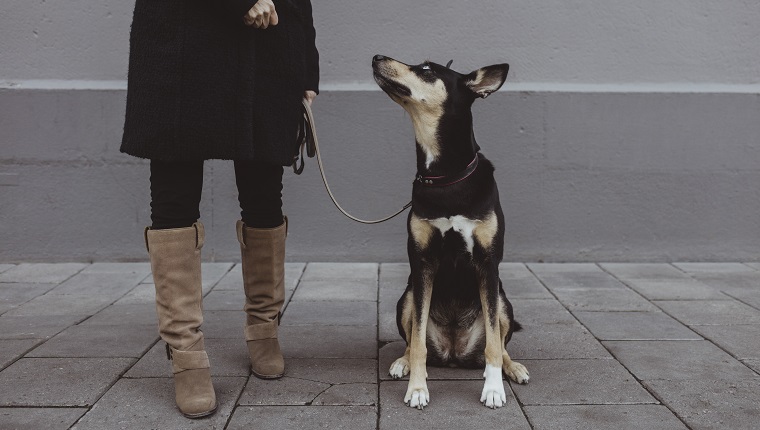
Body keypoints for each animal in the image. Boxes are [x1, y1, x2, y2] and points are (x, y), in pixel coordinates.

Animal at [372, 55, 528, 408]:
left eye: (428, 70)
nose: (376, 58)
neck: (445, 175)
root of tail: (455, 353)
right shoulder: (423, 264)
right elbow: (417, 342)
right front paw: (417, 389)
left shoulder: (487, 265)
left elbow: (494, 345)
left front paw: (494, 389)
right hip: (407, 296)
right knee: (413, 341)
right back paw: (401, 362)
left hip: (502, 301)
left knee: (501, 343)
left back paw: (514, 368)